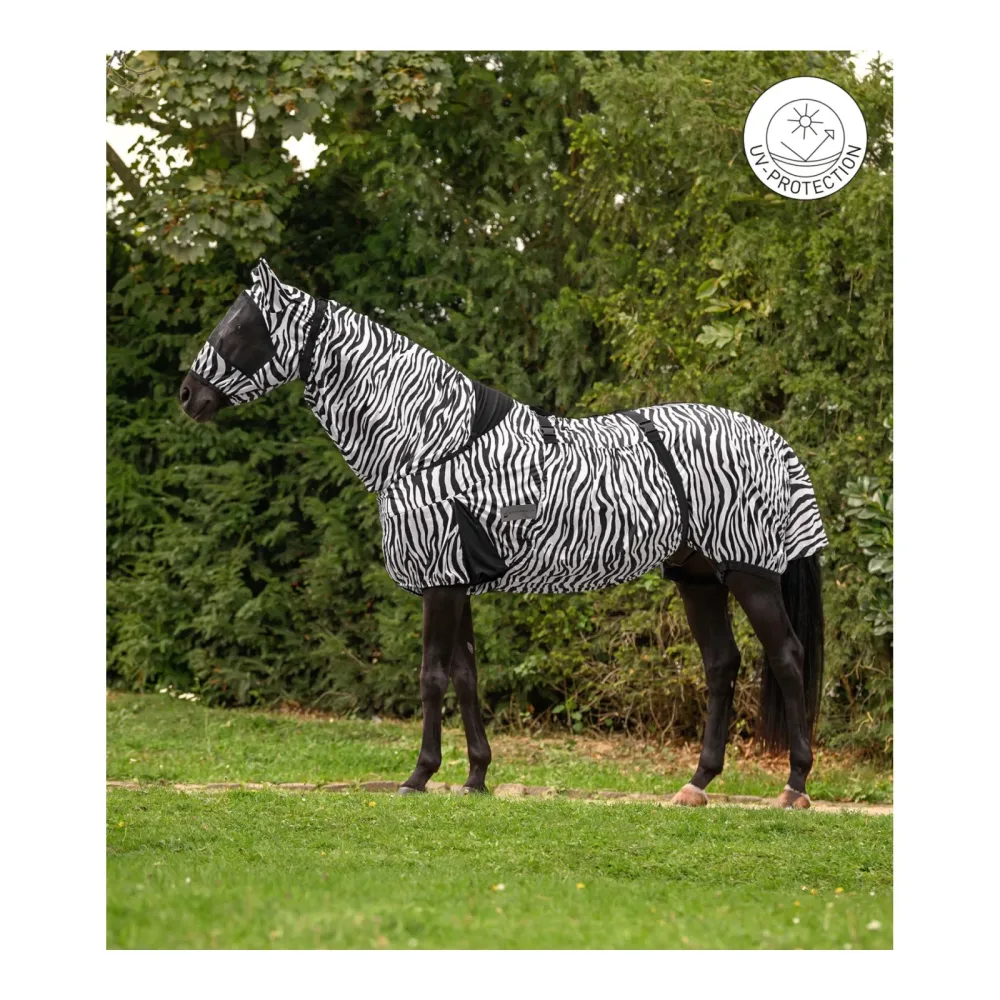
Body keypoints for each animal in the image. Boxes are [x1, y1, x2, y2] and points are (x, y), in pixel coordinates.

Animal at [180, 259, 828, 808]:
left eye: (240, 327)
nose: (188, 395)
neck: (429, 445)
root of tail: (771, 439)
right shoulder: (456, 582)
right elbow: (466, 678)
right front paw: (475, 776)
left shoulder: (440, 584)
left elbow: (431, 677)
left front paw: (419, 776)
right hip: (697, 577)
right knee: (722, 664)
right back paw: (697, 784)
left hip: (750, 574)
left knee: (787, 657)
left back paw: (795, 785)